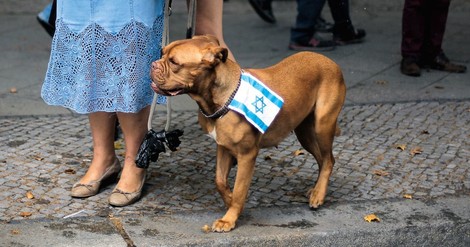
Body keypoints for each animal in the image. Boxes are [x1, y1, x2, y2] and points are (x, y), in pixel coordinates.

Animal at [151, 34, 346, 232]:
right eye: (162, 52)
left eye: (174, 62)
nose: (153, 64)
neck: (220, 98)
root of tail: (330, 61)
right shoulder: (224, 147)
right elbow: (219, 181)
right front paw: (229, 201)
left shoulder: (247, 155)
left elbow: (239, 189)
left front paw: (229, 218)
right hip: (304, 133)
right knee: (323, 159)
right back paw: (316, 190)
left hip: (323, 125)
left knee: (329, 159)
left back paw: (318, 195)